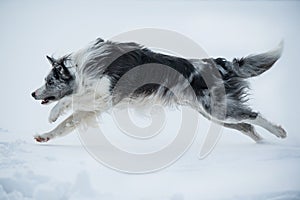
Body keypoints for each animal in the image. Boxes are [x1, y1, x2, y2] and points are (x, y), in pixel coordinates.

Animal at [31, 37, 288, 142]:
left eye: (49, 81)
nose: (32, 94)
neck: (82, 68)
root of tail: (215, 63)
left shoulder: (107, 95)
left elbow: (70, 101)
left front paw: (53, 113)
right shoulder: (96, 106)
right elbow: (66, 124)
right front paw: (45, 136)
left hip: (215, 108)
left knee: (253, 115)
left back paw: (279, 133)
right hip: (215, 113)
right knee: (246, 125)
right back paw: (264, 145)